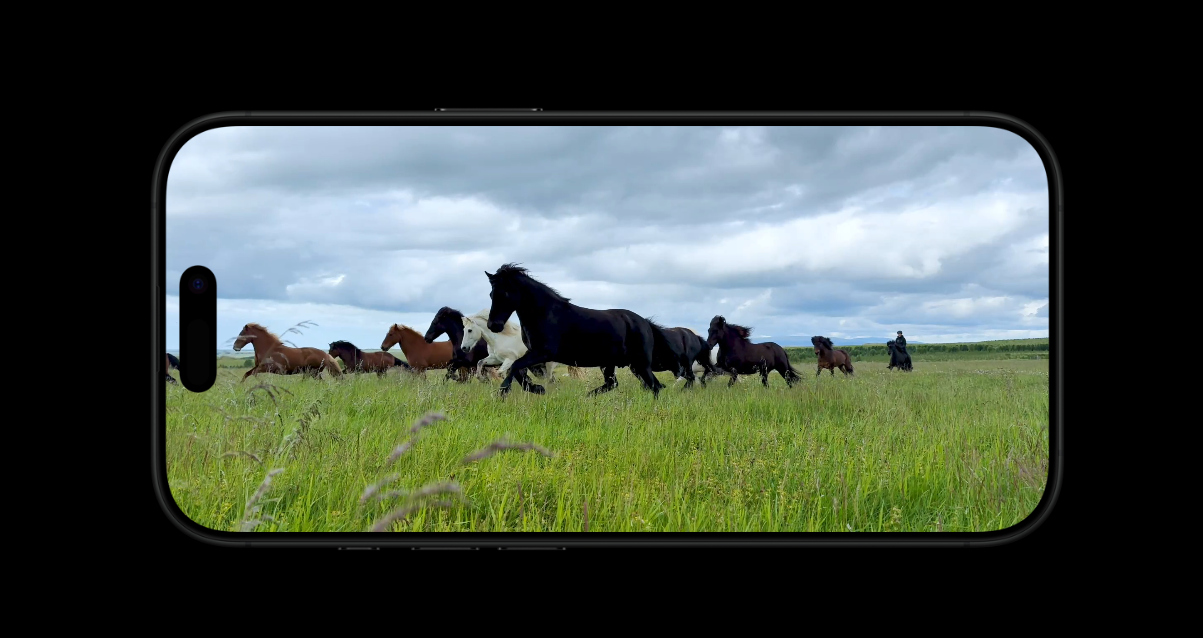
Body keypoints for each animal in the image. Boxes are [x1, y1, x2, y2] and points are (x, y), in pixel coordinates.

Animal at [483, 261, 664, 394]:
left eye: (505, 294)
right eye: (491, 294)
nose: (493, 325)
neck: (545, 313)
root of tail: (644, 322)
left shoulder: (543, 353)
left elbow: (515, 367)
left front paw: (503, 392)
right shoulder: (533, 353)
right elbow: (517, 370)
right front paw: (536, 388)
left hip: (640, 364)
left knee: (654, 386)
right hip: (616, 364)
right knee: (617, 384)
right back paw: (588, 396)